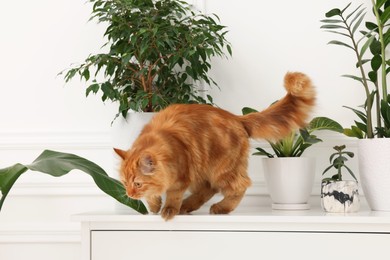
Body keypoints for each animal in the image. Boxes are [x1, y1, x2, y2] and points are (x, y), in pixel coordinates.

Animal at [114, 72, 316, 220]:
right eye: (124, 183)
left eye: (137, 183)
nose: (129, 194)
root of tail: (236, 118)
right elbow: (153, 195)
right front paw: (155, 205)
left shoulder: (182, 177)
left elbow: (173, 195)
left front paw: (169, 209)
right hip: (202, 169)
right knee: (209, 189)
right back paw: (188, 206)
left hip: (222, 168)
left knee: (240, 186)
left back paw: (219, 208)